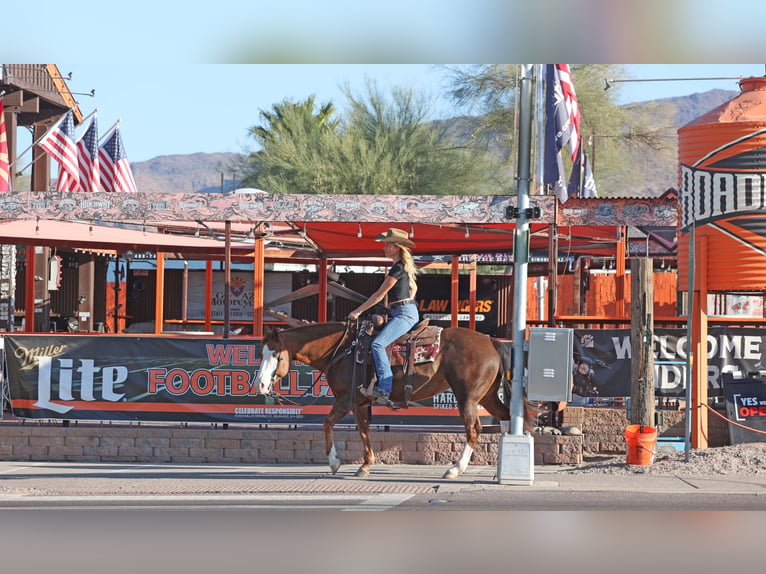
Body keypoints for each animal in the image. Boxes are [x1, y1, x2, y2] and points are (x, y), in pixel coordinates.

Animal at [252, 322, 536, 480]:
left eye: (275, 354)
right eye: (262, 353)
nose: (261, 385)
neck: (343, 349)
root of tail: (489, 340)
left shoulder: (345, 399)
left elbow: (327, 423)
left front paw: (334, 462)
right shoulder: (360, 402)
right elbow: (364, 430)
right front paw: (365, 466)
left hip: (467, 397)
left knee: (474, 429)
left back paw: (456, 469)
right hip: (487, 396)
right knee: (509, 420)